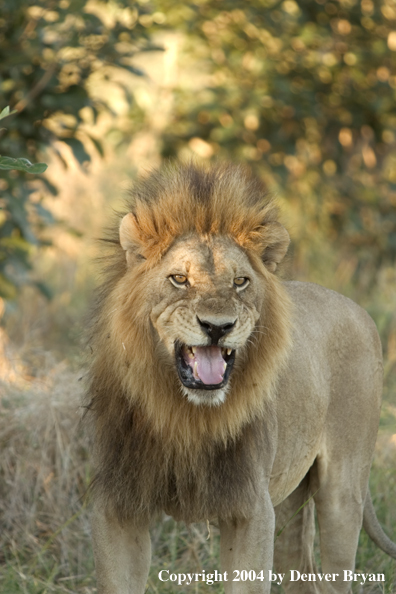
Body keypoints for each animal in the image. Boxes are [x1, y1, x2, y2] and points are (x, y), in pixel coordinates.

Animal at [84, 160, 396, 588]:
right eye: (179, 279)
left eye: (240, 282)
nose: (218, 327)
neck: (183, 414)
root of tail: (357, 308)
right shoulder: (117, 506)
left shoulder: (251, 509)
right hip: (290, 499)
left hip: (342, 488)